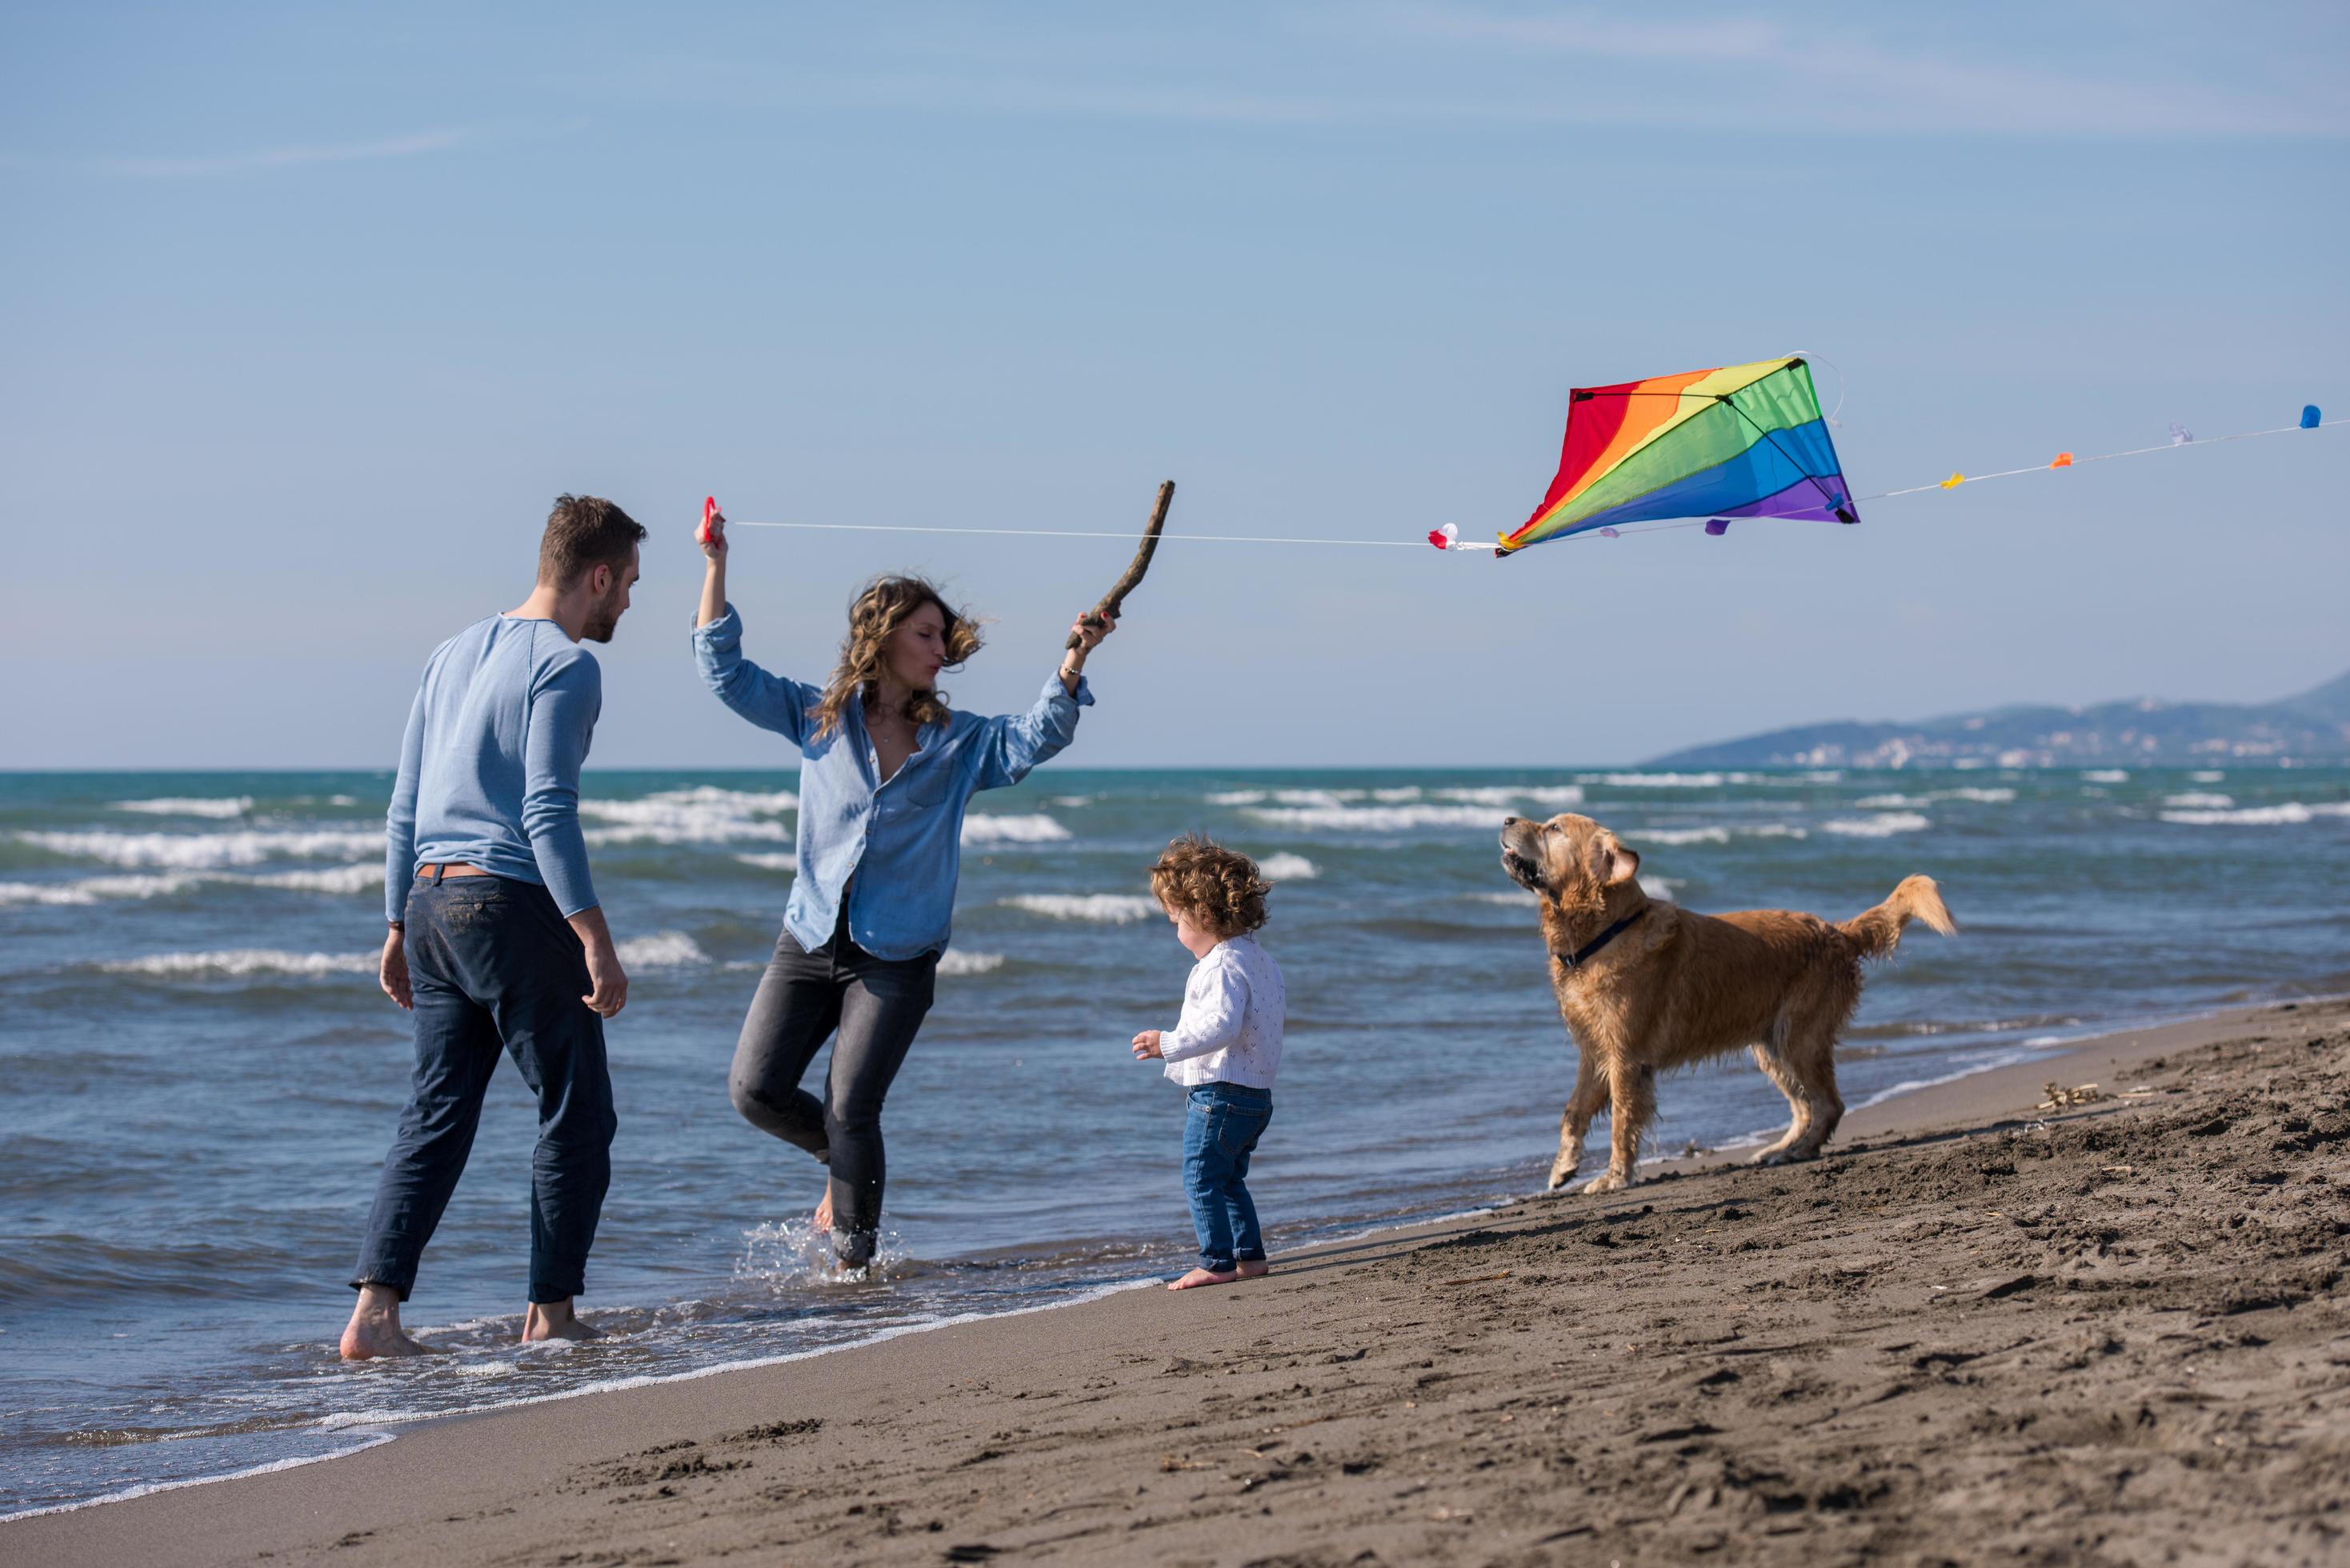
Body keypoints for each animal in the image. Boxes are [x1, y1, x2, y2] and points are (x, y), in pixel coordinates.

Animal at [1494, 818, 1955, 1194]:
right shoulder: (1594, 1051)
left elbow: (1622, 1123)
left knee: (1829, 1104)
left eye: (1554, 828)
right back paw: (1776, 1149)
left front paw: (1614, 1177)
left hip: (1798, 1040)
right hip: (1771, 1048)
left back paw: (1799, 1151)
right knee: (1804, 1107)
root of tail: (1838, 932)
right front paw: (1563, 1167)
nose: (1507, 818)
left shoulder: (1625, 1058)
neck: (1605, 932)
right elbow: (1573, 1112)